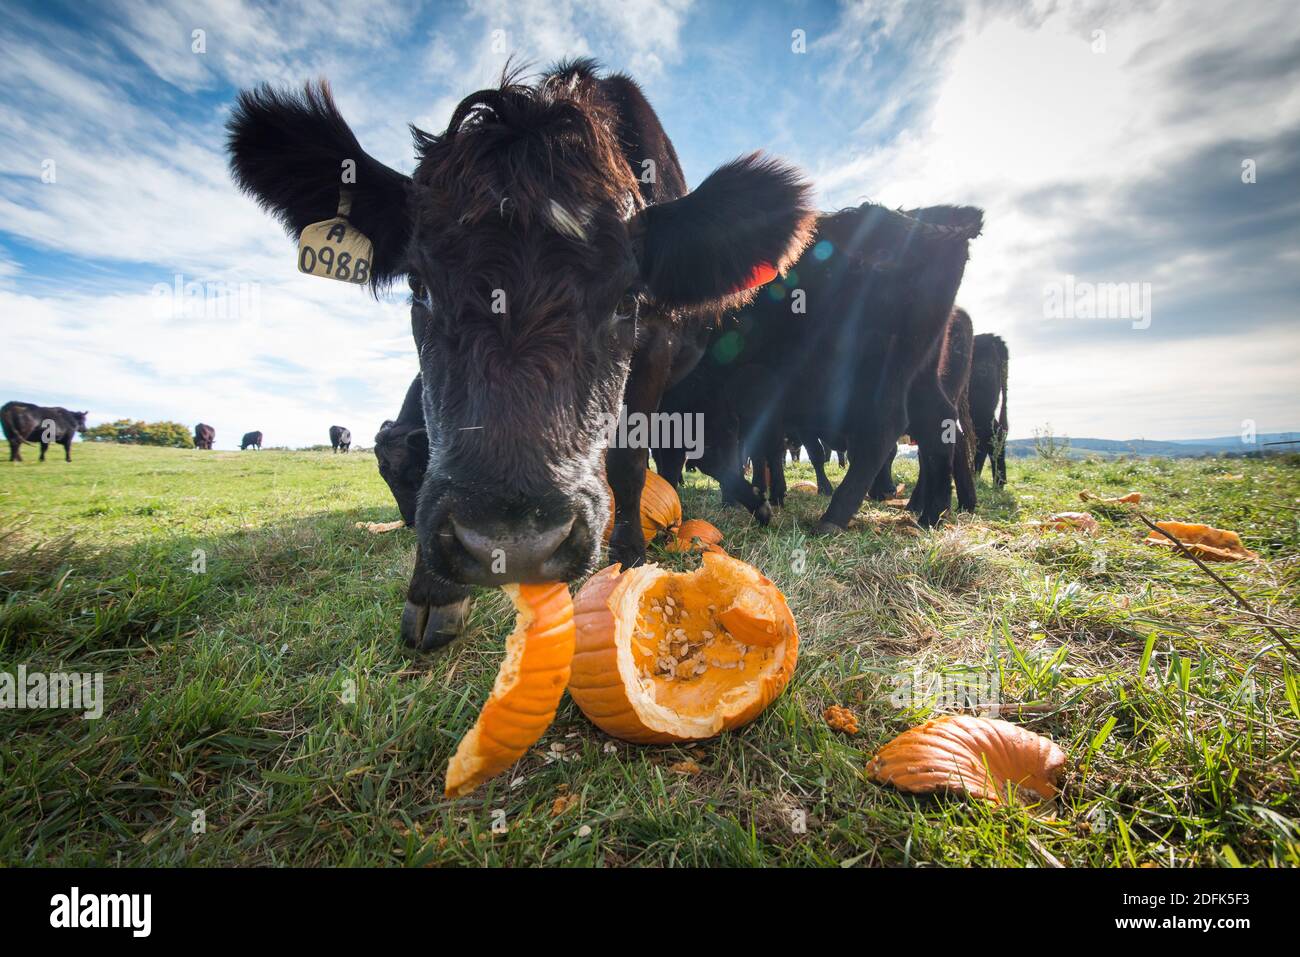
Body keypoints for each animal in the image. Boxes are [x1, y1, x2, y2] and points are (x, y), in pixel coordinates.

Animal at [226, 55, 811, 647]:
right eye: (418, 285)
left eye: (627, 297)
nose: (511, 547)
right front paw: (433, 591)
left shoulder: (656, 348)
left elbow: (627, 458)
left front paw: (627, 561)